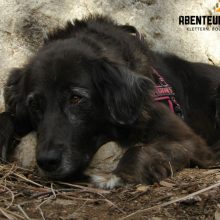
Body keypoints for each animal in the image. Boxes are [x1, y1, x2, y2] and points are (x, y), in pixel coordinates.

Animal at [0, 15, 219, 187]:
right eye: (34, 105)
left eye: (76, 98)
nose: (47, 161)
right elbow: (8, 115)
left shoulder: (189, 140)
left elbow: (138, 149)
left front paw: (117, 176)